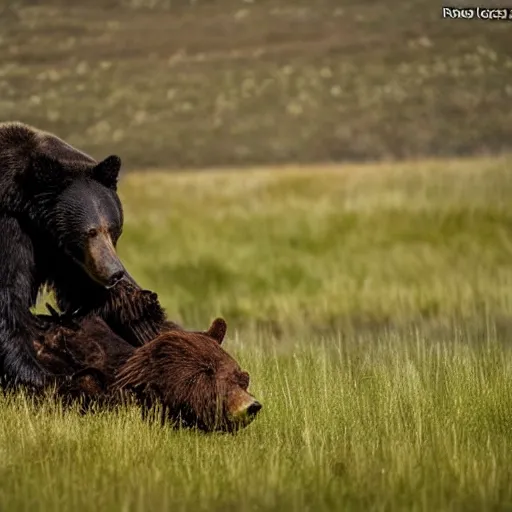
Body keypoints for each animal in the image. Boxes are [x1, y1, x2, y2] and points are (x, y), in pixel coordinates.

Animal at [0, 122, 163, 390]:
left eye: (113, 228)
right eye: (91, 231)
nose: (115, 272)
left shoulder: (63, 254)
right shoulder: (13, 230)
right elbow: (9, 296)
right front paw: (40, 376)